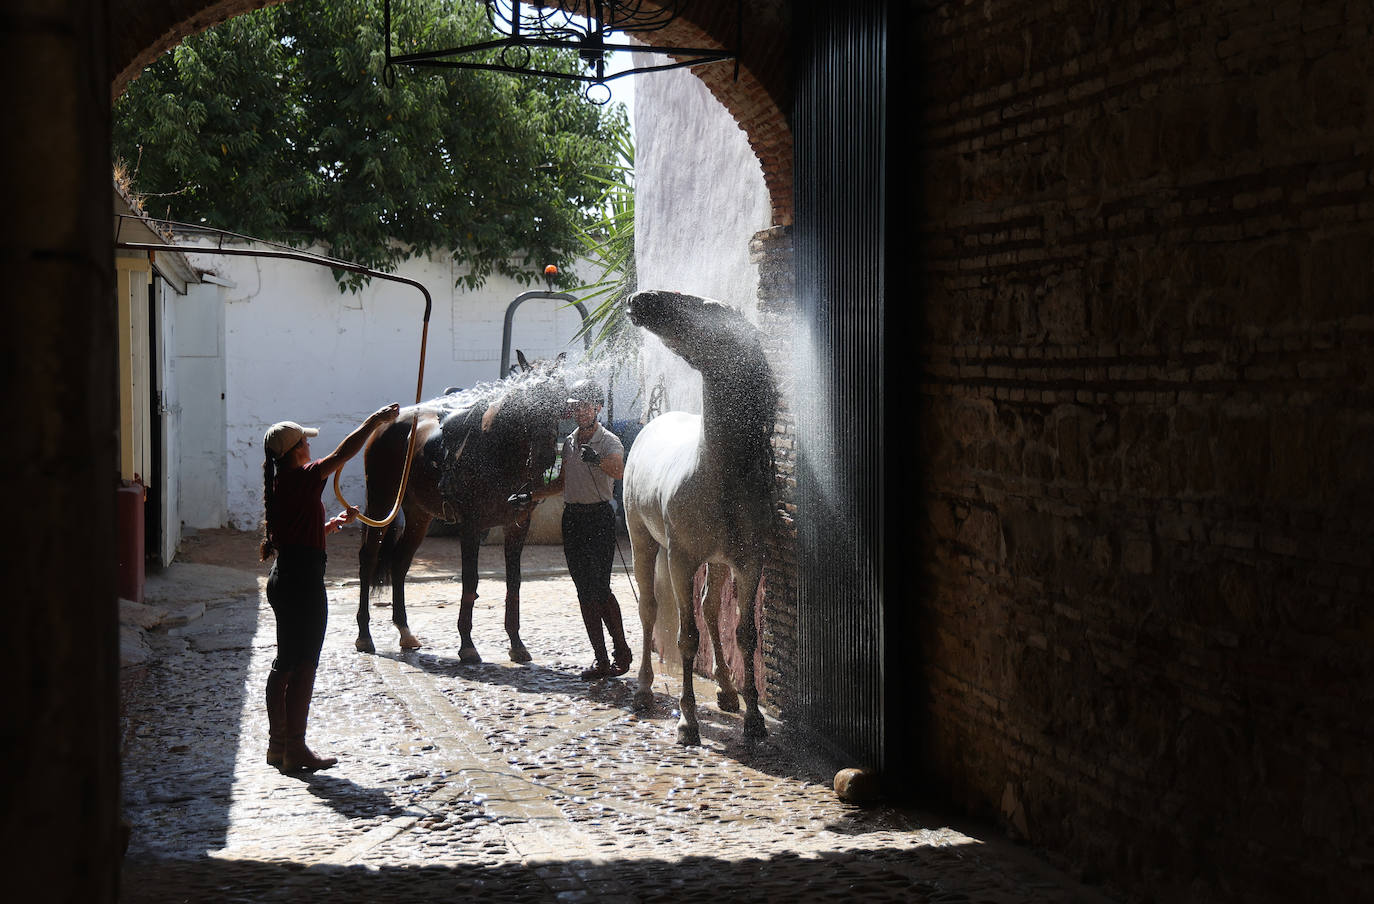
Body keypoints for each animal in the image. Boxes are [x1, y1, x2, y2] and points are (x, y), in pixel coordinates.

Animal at [354, 352, 568, 662]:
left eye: (559, 400)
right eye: (528, 402)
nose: (545, 455)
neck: (498, 450)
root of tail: (386, 423)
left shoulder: (517, 526)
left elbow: (513, 583)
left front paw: (516, 643)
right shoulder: (470, 526)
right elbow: (470, 581)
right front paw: (467, 644)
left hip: (419, 515)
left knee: (400, 562)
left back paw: (404, 631)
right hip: (382, 503)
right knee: (369, 558)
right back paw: (364, 635)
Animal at [622, 290, 777, 745]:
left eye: (706, 308)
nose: (638, 299)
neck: (718, 472)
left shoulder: (748, 562)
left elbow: (745, 634)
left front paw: (754, 719)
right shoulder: (681, 561)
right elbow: (686, 637)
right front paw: (688, 721)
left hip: (718, 563)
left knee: (709, 609)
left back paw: (726, 691)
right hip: (642, 541)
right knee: (650, 609)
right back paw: (643, 690)